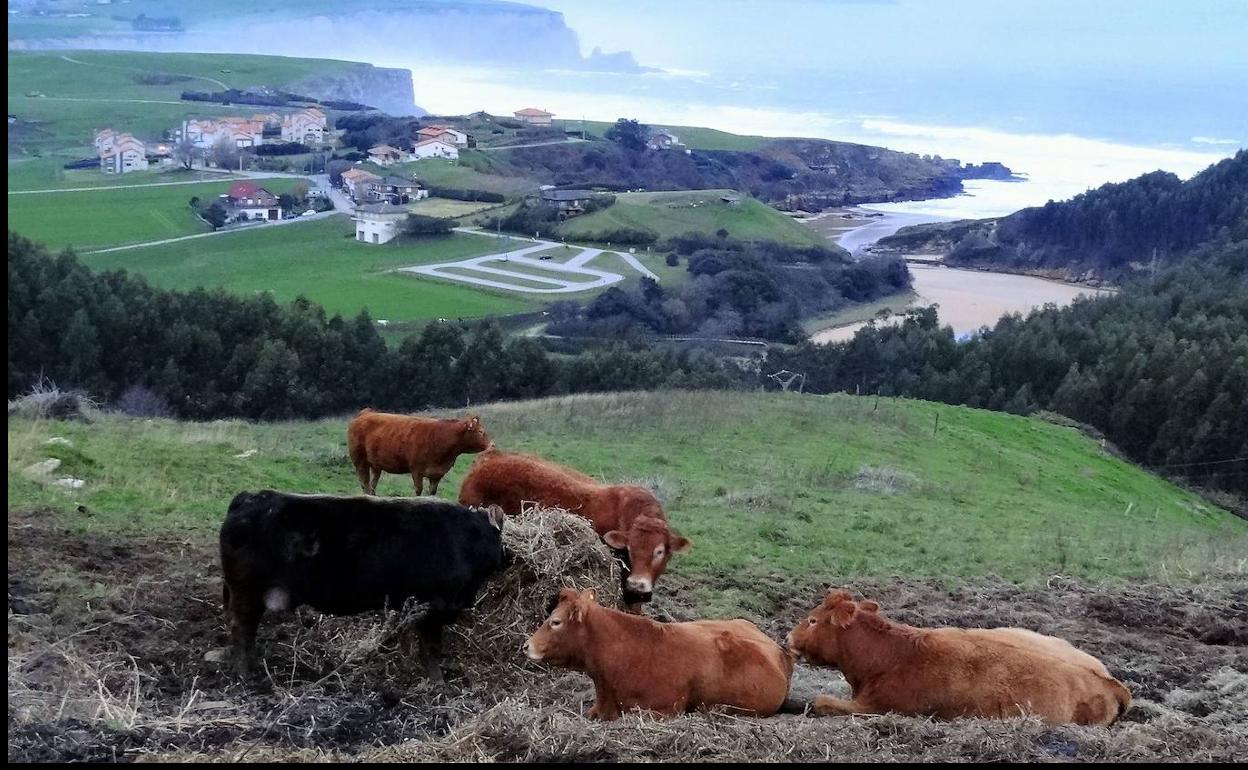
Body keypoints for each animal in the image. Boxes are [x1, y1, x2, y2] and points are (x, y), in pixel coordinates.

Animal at [219, 486, 506, 678]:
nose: (506, 557)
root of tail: (250, 497)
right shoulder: (435, 608)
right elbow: (431, 648)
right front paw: (437, 680)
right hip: (246, 592)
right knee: (241, 630)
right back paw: (244, 673)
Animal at [349, 409, 494, 491]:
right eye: (481, 431)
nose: (492, 445)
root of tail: (366, 413)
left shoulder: (437, 474)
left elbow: (431, 492)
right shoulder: (416, 470)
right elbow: (419, 491)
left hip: (376, 465)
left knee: (372, 485)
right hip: (360, 461)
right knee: (365, 484)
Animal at [788, 589, 1133, 728]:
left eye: (813, 620)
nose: (789, 638)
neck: (891, 655)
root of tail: (1109, 682)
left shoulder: (879, 707)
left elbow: (820, 702)